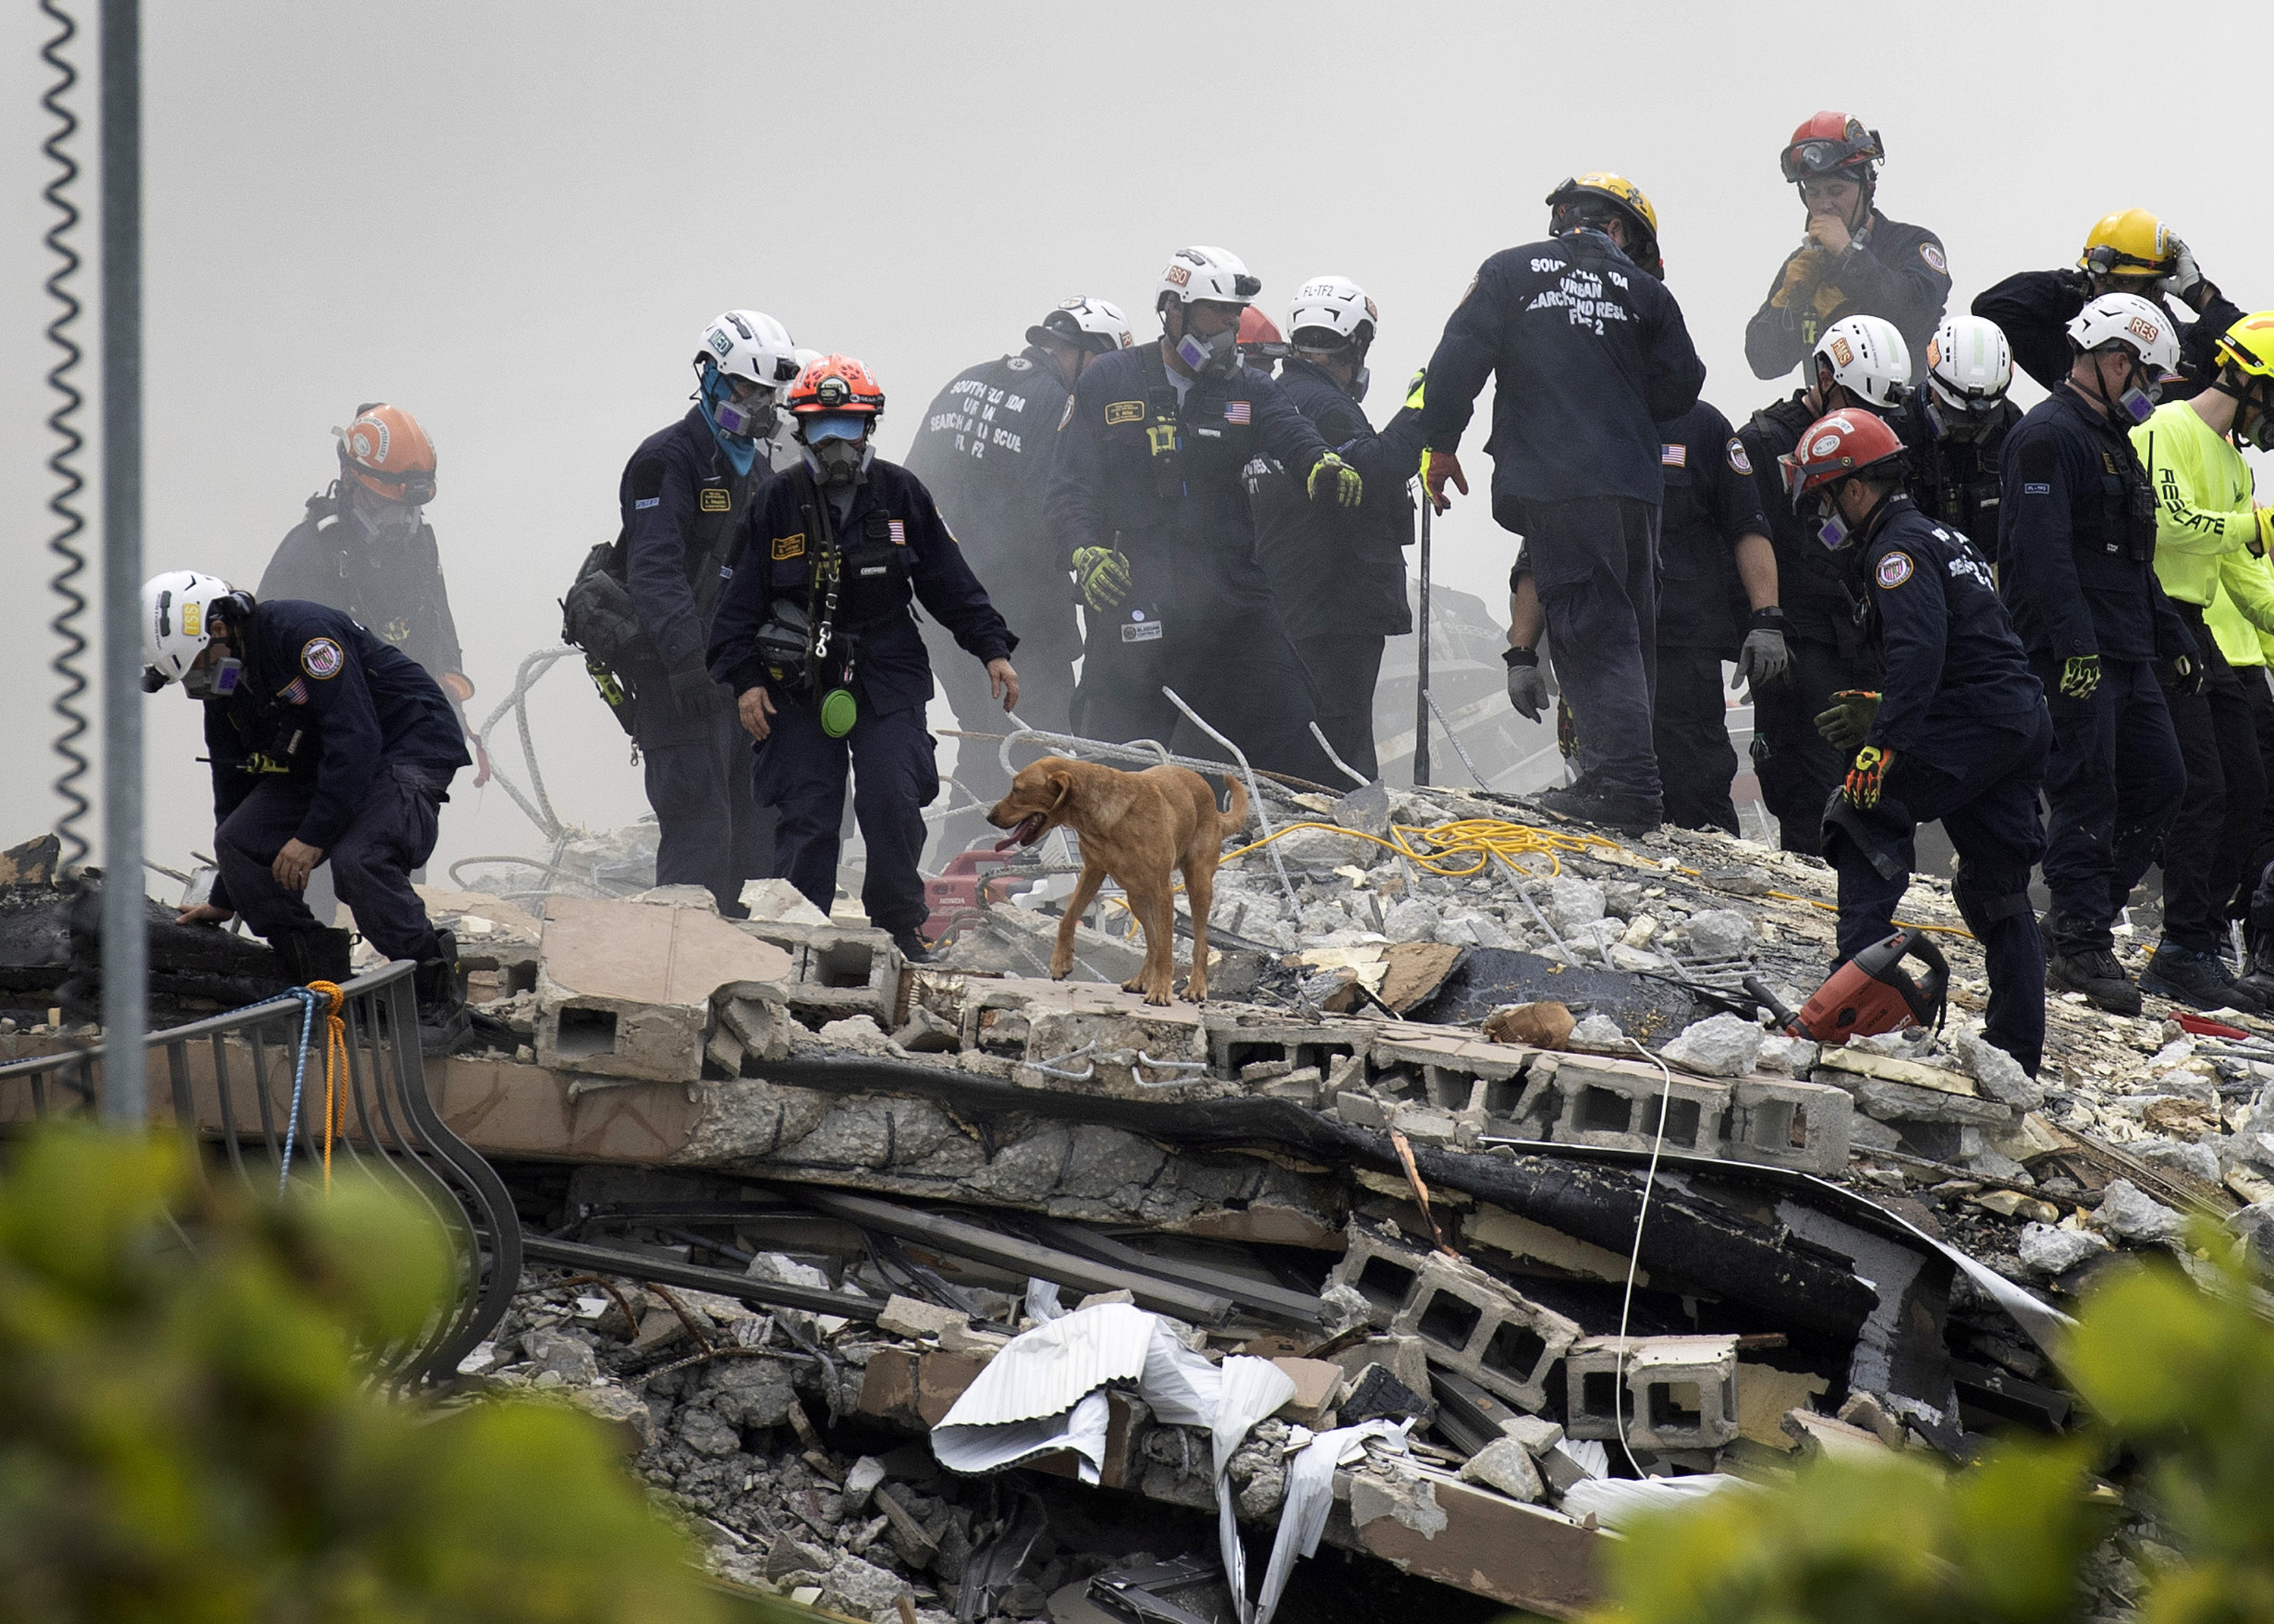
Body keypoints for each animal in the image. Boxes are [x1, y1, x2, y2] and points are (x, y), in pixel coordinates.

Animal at [987, 755, 1255, 1000]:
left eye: (1017, 790)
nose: (990, 817)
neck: (1104, 820)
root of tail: (1211, 803)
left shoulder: (1163, 889)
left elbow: (1167, 949)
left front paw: (1161, 991)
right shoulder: (1092, 872)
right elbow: (1067, 918)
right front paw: (1061, 961)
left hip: (1197, 883)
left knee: (1198, 943)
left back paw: (1195, 988)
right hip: (1137, 896)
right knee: (1153, 942)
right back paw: (1141, 981)